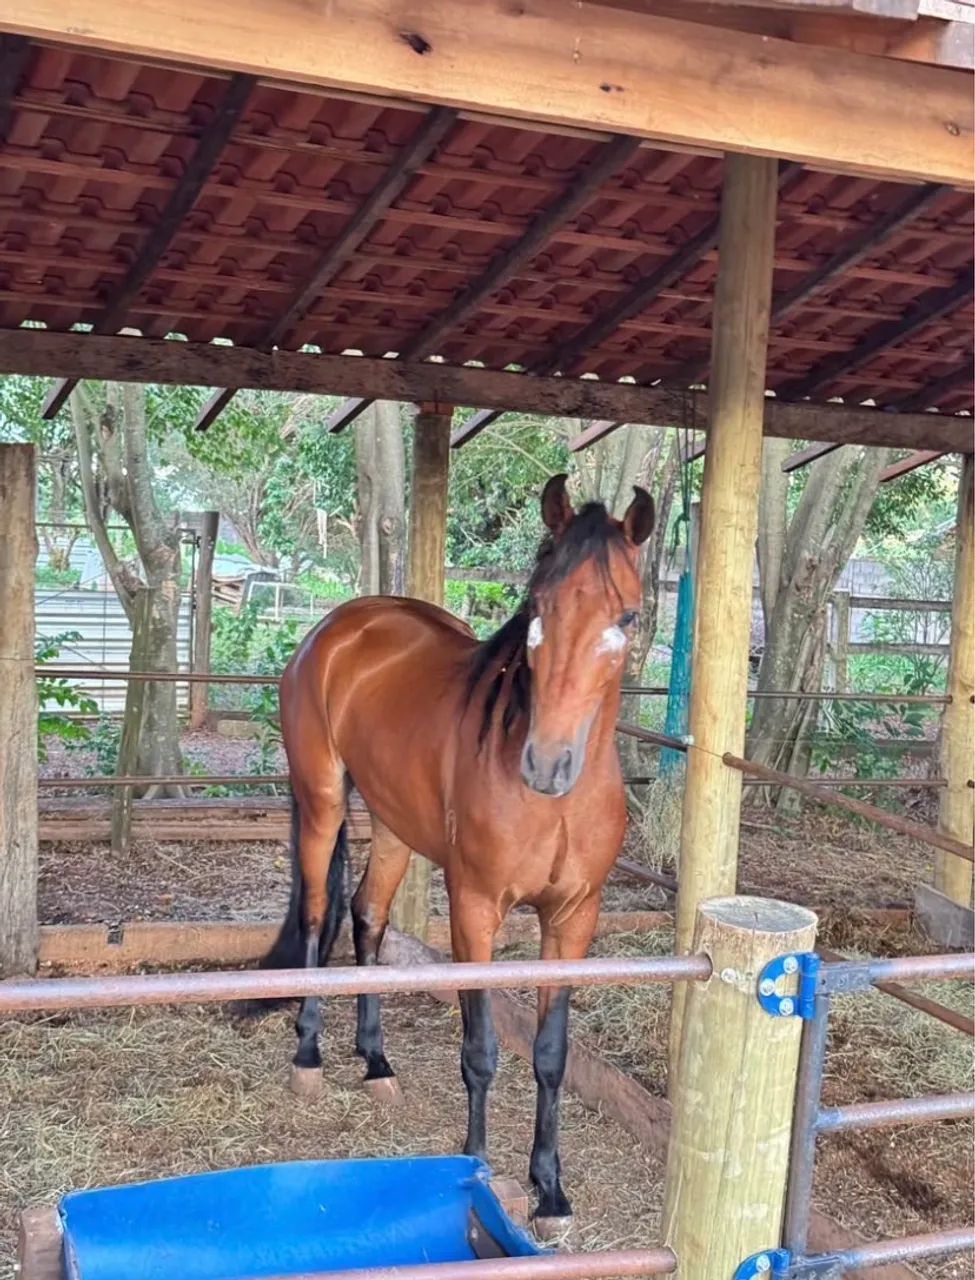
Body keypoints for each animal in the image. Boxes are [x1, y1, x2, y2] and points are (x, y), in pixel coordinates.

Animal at [263, 473, 654, 1230]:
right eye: (539, 605)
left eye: (627, 616)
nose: (546, 763)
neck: (554, 805)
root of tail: (341, 625)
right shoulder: (474, 909)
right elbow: (480, 1048)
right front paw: (476, 1166)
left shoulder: (573, 919)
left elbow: (551, 1053)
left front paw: (550, 1191)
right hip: (323, 803)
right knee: (321, 911)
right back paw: (308, 1054)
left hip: (391, 824)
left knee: (368, 915)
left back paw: (376, 1062)